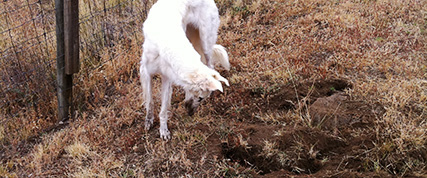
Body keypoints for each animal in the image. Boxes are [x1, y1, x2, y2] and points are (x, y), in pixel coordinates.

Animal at [140, 0, 231, 140]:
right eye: (200, 98)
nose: (190, 113)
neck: (166, 37)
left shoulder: (167, 77)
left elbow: (163, 109)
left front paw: (163, 130)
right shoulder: (146, 72)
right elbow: (150, 101)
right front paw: (149, 121)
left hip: (205, 41)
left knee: (210, 64)